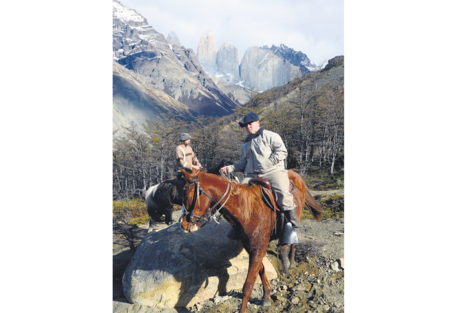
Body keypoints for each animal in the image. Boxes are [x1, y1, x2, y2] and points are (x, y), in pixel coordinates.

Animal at [178, 168, 322, 312]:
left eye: (188, 196)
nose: (183, 225)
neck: (249, 211)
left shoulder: (258, 250)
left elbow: (247, 286)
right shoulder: (252, 248)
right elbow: (261, 270)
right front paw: (266, 296)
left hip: (297, 216)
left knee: (293, 236)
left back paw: (291, 261)